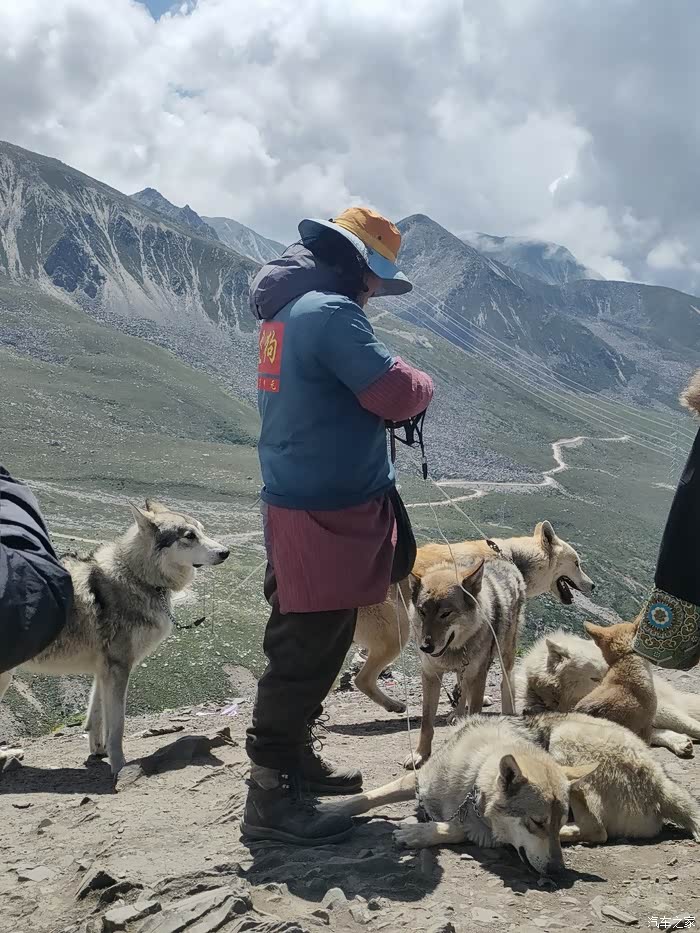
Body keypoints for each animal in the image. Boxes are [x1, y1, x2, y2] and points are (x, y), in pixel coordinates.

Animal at [0, 500, 229, 775]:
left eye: (203, 531)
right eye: (189, 536)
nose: (226, 552)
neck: (138, 577)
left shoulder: (103, 669)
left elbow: (96, 715)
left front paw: (98, 751)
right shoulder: (119, 667)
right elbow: (117, 724)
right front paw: (120, 766)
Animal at [321, 712, 700, 874]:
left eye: (549, 822)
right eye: (536, 823)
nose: (558, 871)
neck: (471, 779)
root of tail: (663, 782)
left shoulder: (482, 828)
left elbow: (458, 829)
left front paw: (418, 833)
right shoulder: (416, 782)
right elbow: (368, 796)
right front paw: (333, 810)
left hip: (565, 739)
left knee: (598, 831)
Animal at [353, 521, 594, 716]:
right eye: (576, 563)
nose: (593, 585)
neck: (510, 558)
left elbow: (463, 675)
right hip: (397, 636)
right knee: (362, 679)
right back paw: (393, 704)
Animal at [403, 554, 526, 769]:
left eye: (445, 614)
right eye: (422, 612)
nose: (425, 647)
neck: (455, 650)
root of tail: (505, 561)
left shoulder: (478, 676)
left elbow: (474, 711)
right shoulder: (431, 676)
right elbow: (426, 723)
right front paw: (420, 754)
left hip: (505, 655)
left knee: (506, 682)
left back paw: (507, 713)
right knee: (462, 689)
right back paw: (456, 715)